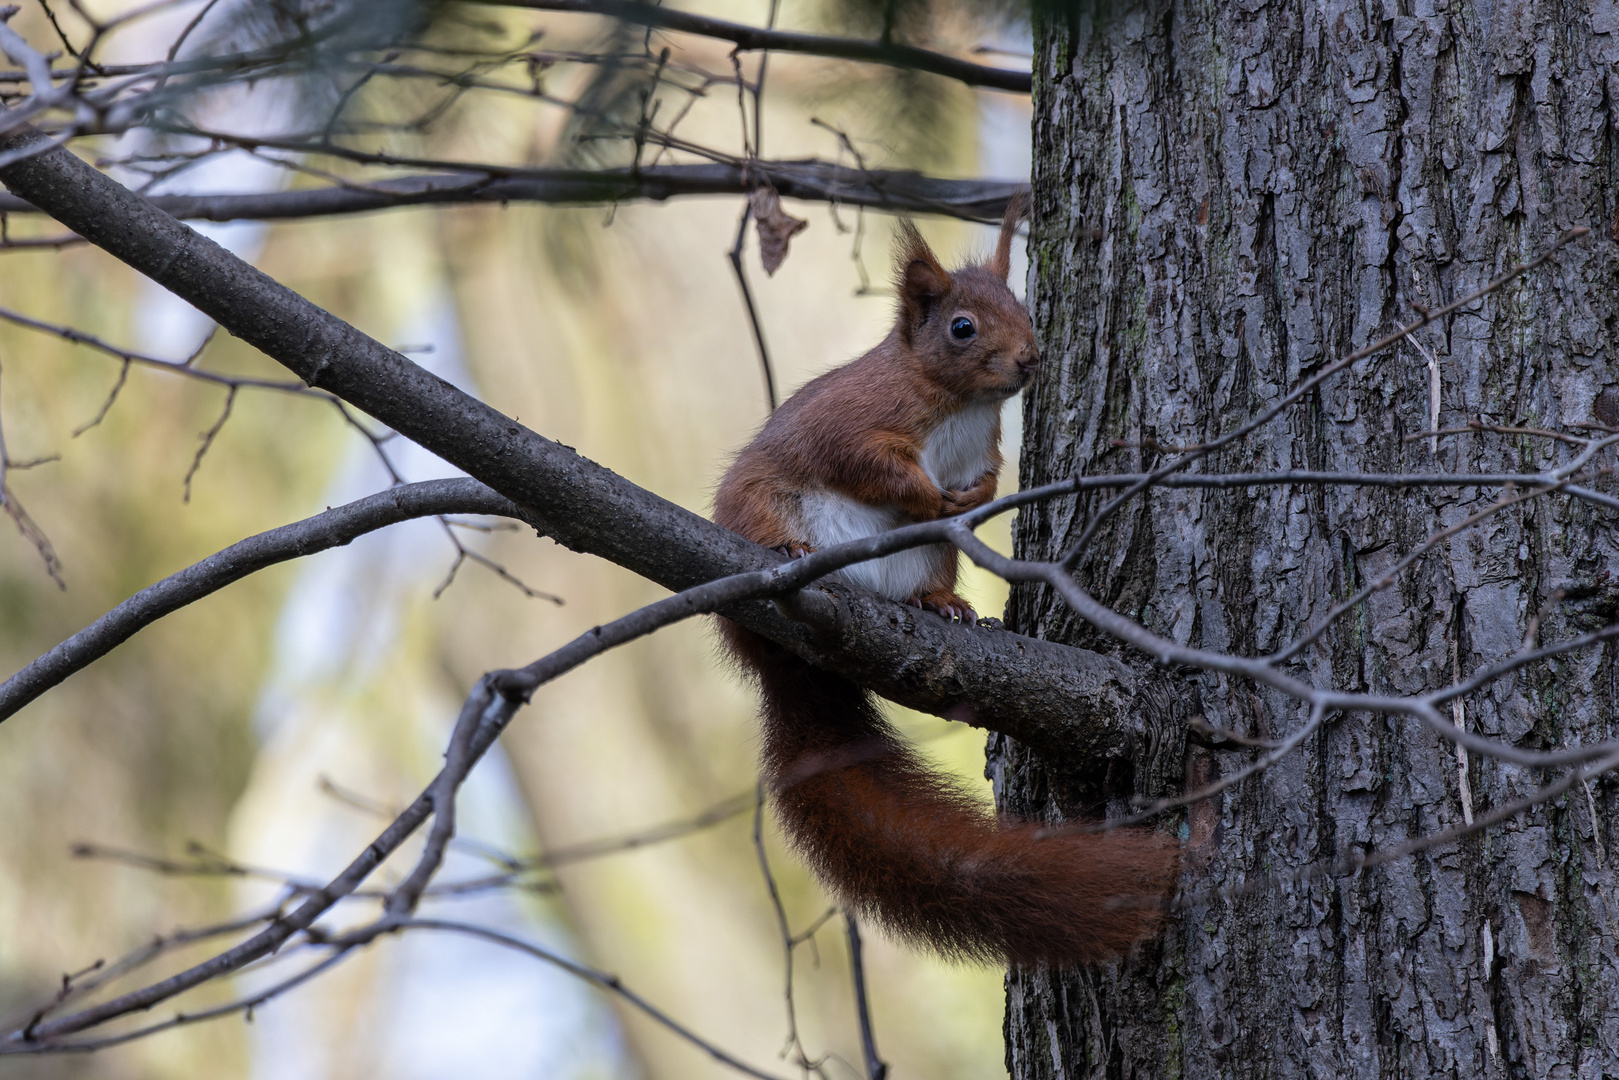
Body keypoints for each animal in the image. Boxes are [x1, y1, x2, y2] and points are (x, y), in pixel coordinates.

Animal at [718, 202, 1178, 965]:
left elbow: (987, 480)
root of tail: (781, 662)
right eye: (961, 328)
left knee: (925, 580)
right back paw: (786, 547)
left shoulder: (984, 450)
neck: (961, 406)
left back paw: (943, 605)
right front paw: (927, 495)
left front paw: (969, 498)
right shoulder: (853, 420)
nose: (1029, 358)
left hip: (929, 559)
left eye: (1024, 309)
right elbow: (870, 464)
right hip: (758, 503)